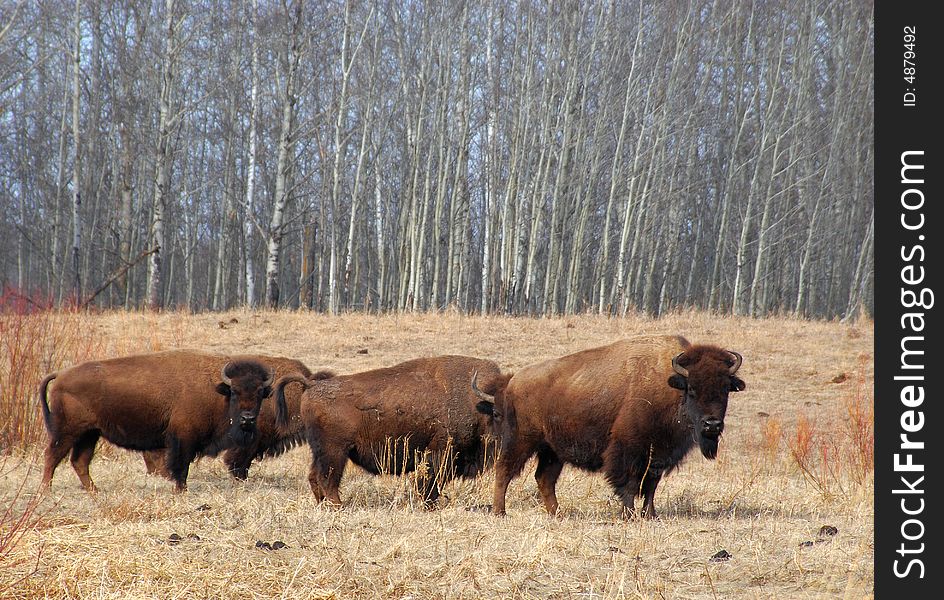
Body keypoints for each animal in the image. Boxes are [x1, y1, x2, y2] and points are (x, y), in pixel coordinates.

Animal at [37, 352, 310, 492]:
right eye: (235, 392)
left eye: (260, 394)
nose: (248, 418)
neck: (215, 389)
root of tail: (61, 375)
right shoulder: (182, 438)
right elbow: (181, 465)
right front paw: (181, 489)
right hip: (67, 431)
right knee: (52, 456)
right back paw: (46, 490)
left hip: (90, 433)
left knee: (79, 461)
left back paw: (95, 490)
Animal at [272, 356, 508, 506]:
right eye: (498, 413)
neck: (476, 402)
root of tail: (310, 385)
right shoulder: (440, 453)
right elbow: (431, 482)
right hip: (335, 452)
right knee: (327, 478)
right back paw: (339, 506)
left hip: (320, 451)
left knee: (315, 477)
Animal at [472, 336, 744, 516]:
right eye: (693, 389)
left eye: (725, 390)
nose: (712, 424)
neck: (670, 385)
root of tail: (514, 382)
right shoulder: (629, 449)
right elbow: (630, 483)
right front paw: (629, 514)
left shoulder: (660, 454)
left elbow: (651, 485)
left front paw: (650, 515)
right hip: (521, 441)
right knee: (504, 470)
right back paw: (500, 512)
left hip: (553, 450)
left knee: (544, 478)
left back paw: (557, 513)